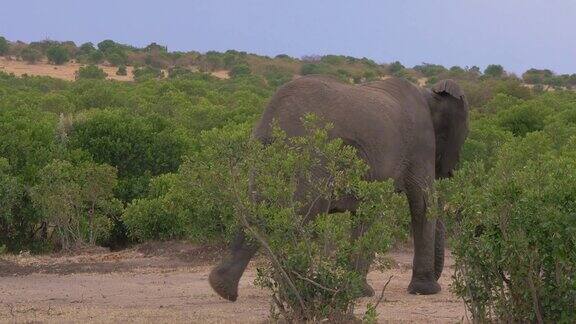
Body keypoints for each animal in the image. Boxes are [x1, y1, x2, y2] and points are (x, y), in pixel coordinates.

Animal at [209, 75, 470, 302]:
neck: (429, 95)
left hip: (263, 154)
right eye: (464, 136)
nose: (449, 171)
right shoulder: (421, 143)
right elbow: (423, 202)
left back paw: (223, 289)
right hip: (311, 159)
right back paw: (297, 291)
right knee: (301, 216)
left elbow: (366, 211)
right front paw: (424, 290)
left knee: (256, 211)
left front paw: (357, 290)